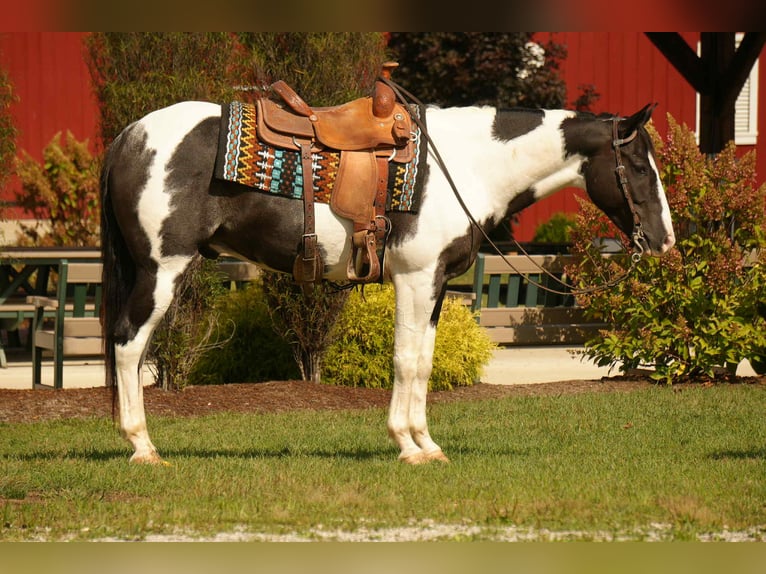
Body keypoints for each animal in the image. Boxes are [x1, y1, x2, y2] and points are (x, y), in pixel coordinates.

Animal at [100, 96, 675, 465]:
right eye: (639, 166)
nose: (664, 241)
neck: (466, 165)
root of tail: (131, 136)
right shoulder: (416, 280)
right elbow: (404, 360)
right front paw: (407, 446)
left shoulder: (436, 285)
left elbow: (424, 361)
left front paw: (428, 445)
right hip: (161, 270)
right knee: (129, 344)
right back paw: (143, 447)